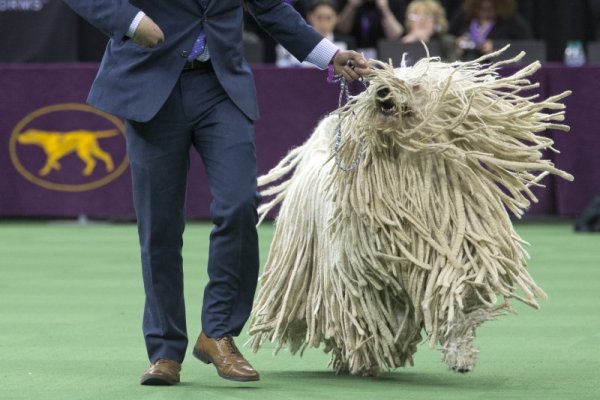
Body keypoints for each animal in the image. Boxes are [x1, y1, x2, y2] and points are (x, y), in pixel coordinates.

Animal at [247, 48, 572, 376]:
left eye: (414, 86)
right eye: (376, 80)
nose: (383, 91)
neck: (408, 179)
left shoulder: (455, 246)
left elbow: (458, 294)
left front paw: (459, 353)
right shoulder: (362, 271)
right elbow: (367, 313)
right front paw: (374, 352)